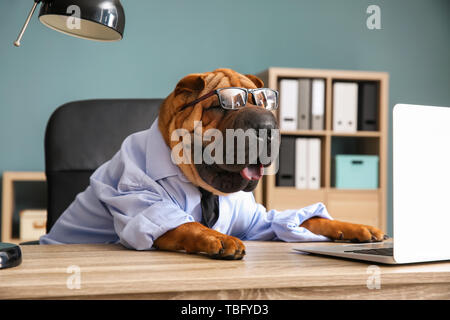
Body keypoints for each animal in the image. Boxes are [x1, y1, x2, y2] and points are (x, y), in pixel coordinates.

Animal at [40, 68, 386, 260]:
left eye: (264, 100)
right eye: (224, 104)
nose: (267, 125)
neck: (205, 189)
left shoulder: (259, 221)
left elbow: (306, 219)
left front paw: (358, 228)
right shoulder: (136, 198)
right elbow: (185, 223)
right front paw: (219, 239)